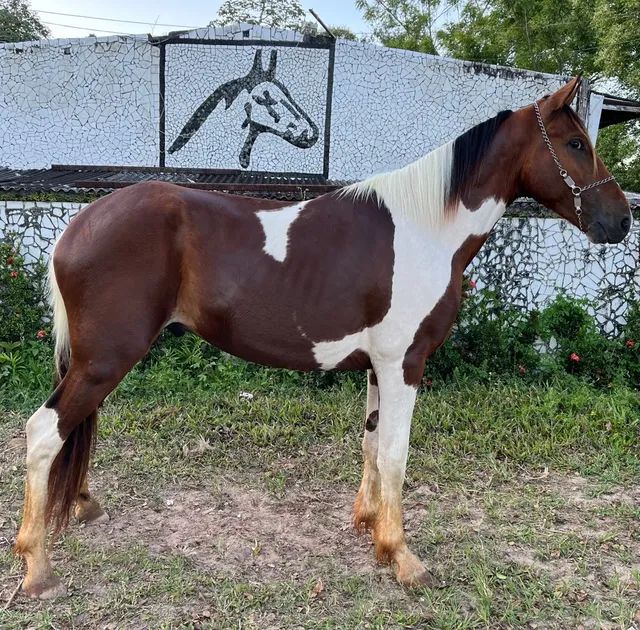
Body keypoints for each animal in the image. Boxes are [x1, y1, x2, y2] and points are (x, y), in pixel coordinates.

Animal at [13, 76, 632, 600]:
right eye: (576, 142)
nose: (621, 221)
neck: (426, 229)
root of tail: (78, 224)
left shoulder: (379, 366)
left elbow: (372, 444)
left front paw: (371, 527)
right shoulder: (405, 363)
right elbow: (396, 453)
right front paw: (403, 557)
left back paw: (82, 508)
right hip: (104, 361)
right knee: (44, 432)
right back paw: (37, 567)